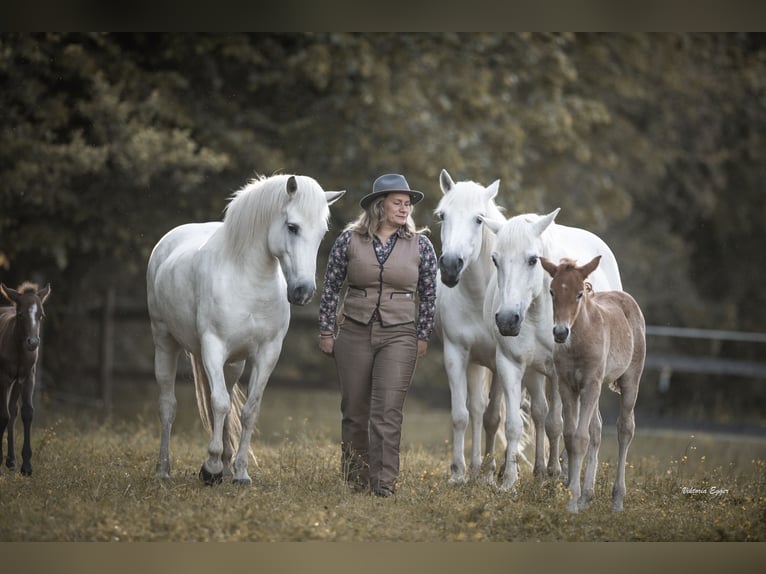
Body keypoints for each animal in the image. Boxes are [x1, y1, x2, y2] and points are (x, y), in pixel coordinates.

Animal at [0, 281, 51, 476]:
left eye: (41, 315)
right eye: (20, 314)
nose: (33, 342)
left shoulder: (28, 376)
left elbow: (26, 412)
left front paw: (26, 466)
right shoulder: (4, 377)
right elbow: (3, 415)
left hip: (16, 383)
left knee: (13, 411)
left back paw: (11, 461)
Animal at [147, 174, 344, 485]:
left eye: (322, 233)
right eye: (292, 227)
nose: (303, 291)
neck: (248, 281)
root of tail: (166, 243)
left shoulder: (267, 353)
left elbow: (249, 410)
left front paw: (240, 472)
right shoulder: (213, 347)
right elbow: (218, 403)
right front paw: (210, 468)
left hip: (233, 364)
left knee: (228, 404)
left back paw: (226, 468)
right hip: (165, 342)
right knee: (168, 405)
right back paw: (164, 470)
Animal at [435, 169, 539, 485]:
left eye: (479, 219)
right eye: (442, 216)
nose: (450, 266)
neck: (479, 296)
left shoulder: (500, 361)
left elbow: (495, 418)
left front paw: (493, 475)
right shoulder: (456, 354)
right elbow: (462, 415)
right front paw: (458, 474)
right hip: (475, 364)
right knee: (477, 410)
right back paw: (476, 466)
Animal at [482, 208, 623, 491]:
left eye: (532, 260)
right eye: (495, 259)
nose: (507, 320)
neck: (537, 309)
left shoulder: (559, 373)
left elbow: (557, 425)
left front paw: (557, 474)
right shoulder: (511, 364)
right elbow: (515, 424)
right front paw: (509, 482)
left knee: (582, 424)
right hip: (535, 373)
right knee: (539, 413)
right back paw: (539, 470)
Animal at [541, 256, 645, 512]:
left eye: (579, 293)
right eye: (552, 291)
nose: (560, 332)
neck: (578, 342)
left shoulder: (590, 384)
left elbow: (581, 438)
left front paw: (572, 500)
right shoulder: (567, 386)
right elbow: (571, 437)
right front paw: (573, 495)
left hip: (630, 379)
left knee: (625, 428)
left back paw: (617, 500)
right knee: (596, 429)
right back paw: (587, 496)